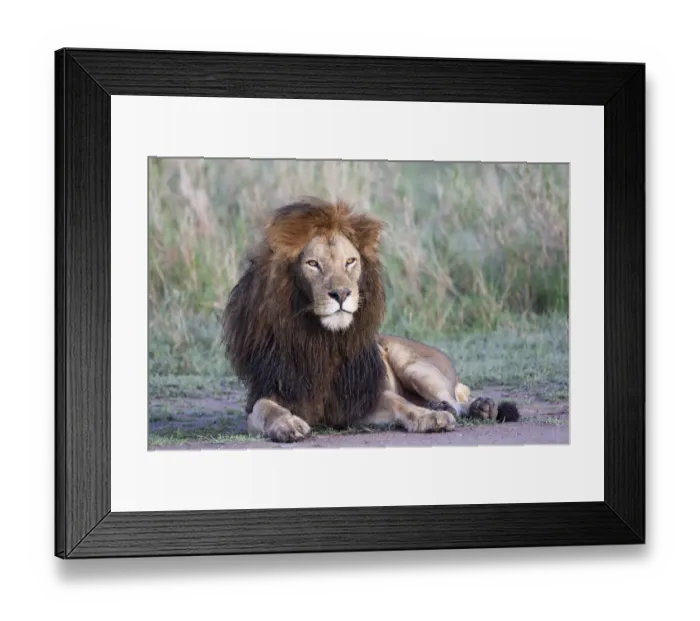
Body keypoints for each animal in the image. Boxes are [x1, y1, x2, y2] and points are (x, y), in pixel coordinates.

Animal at [222, 197, 519, 443]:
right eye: (313, 264)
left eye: (350, 261)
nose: (342, 293)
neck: (322, 341)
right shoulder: (271, 392)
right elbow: (265, 410)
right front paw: (287, 425)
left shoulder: (360, 397)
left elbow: (400, 403)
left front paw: (430, 418)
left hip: (413, 365)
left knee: (457, 400)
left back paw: (477, 408)